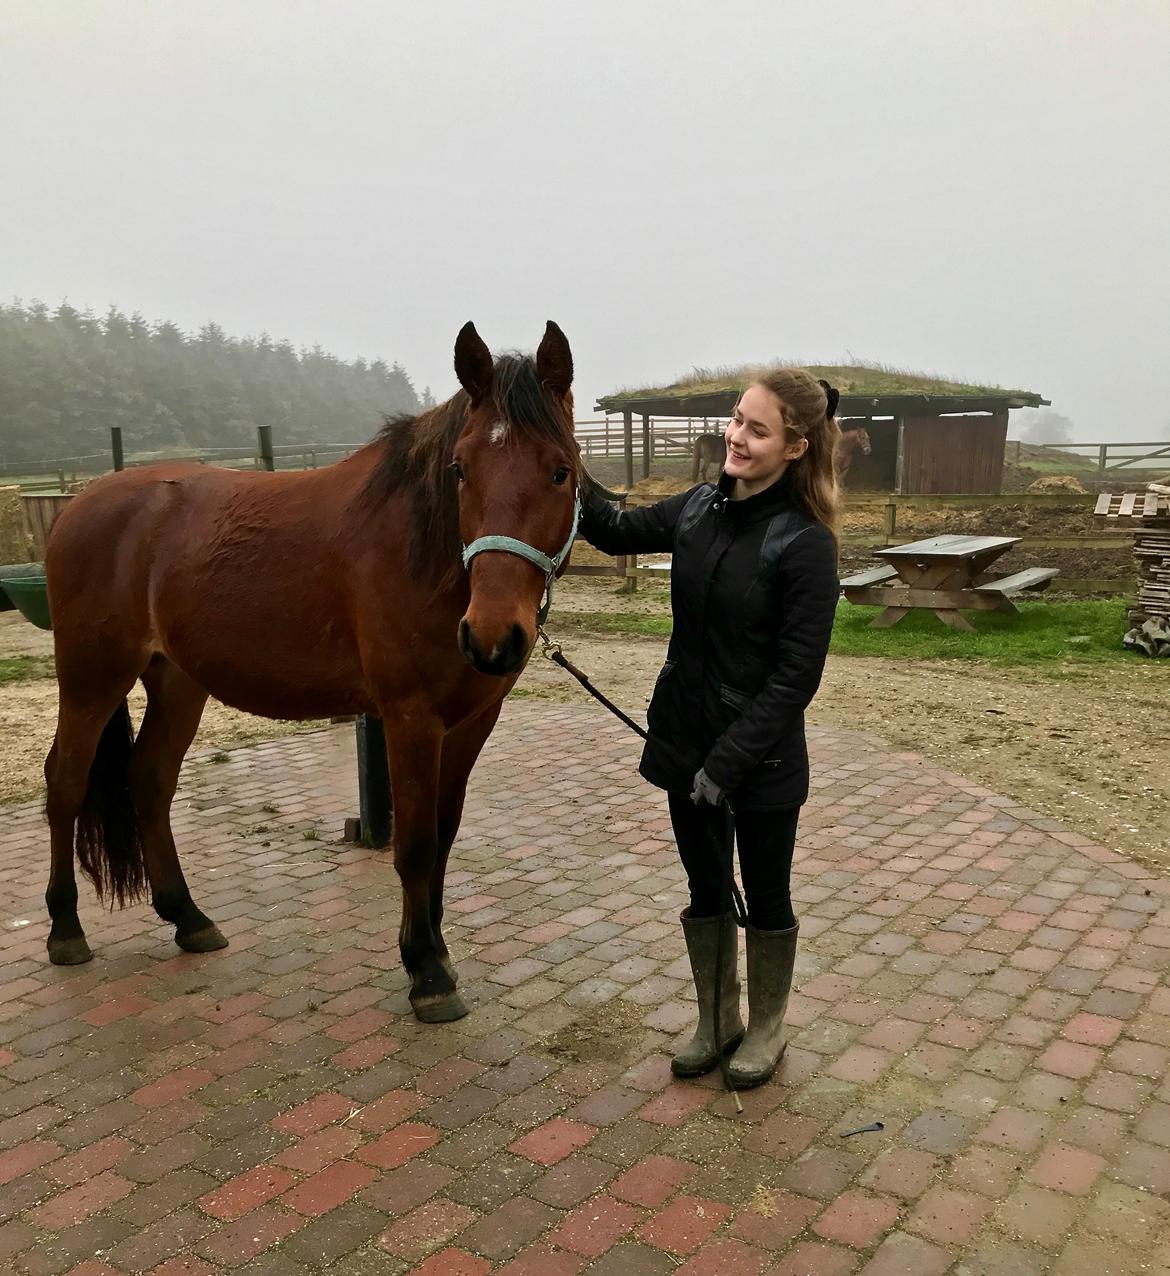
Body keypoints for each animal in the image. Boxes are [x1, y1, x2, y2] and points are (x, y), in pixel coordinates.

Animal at [43, 321, 581, 1025]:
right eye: (460, 470)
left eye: (559, 470)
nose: (491, 638)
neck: (422, 552)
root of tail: (78, 505)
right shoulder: (409, 717)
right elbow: (414, 844)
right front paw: (428, 972)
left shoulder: (471, 721)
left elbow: (442, 835)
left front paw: (428, 947)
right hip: (92, 677)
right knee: (65, 782)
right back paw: (65, 930)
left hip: (178, 682)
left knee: (149, 780)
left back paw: (188, 919)